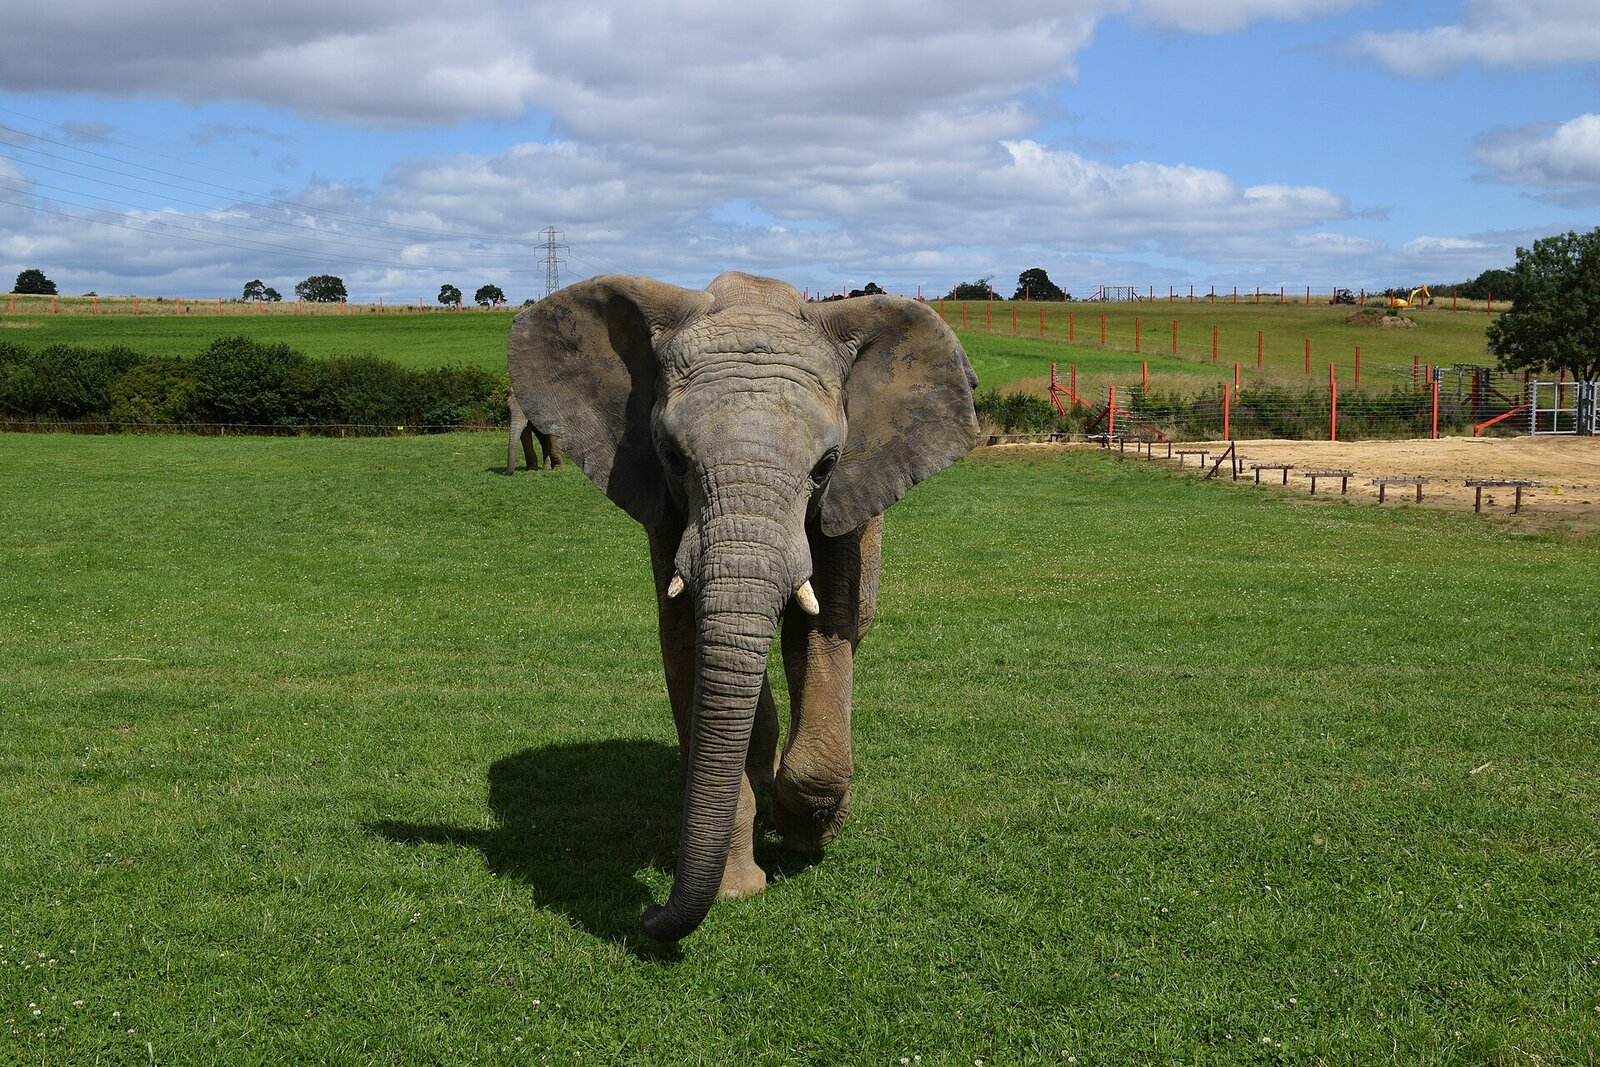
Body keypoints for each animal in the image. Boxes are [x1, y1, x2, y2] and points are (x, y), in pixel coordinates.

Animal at [507, 271, 978, 942]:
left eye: (826, 466)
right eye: (673, 457)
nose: (649, 914)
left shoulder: (846, 506)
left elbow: (824, 631)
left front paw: (807, 836)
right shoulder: (664, 508)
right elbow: (685, 641)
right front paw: (737, 888)